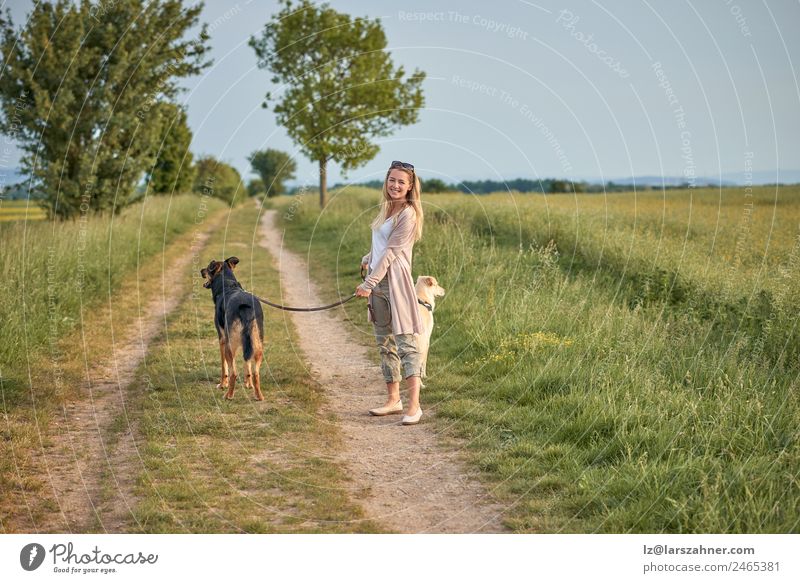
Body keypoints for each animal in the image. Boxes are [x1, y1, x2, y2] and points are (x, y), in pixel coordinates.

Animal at [200, 256, 266, 402]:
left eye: (207, 267)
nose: (200, 270)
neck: (228, 284)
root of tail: (245, 306)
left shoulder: (222, 339)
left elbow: (223, 367)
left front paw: (222, 384)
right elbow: (247, 364)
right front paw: (248, 384)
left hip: (229, 346)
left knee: (234, 373)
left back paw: (228, 395)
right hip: (258, 344)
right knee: (256, 372)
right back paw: (259, 395)